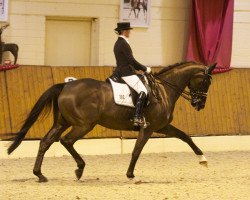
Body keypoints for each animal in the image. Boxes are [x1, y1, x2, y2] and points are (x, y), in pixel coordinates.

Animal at [6, 61, 216, 182]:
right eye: (206, 81)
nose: (200, 104)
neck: (163, 90)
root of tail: (65, 86)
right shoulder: (149, 128)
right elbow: (137, 150)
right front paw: (130, 175)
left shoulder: (162, 126)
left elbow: (185, 137)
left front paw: (203, 159)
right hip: (83, 124)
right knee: (66, 141)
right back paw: (79, 169)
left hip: (62, 122)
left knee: (45, 142)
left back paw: (39, 174)